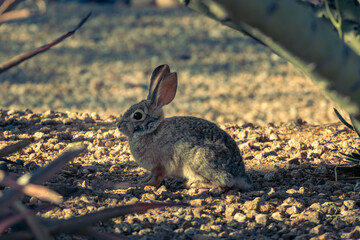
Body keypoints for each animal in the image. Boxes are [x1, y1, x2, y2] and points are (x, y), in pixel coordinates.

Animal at [116, 64, 252, 190]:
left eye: (137, 115)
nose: (119, 125)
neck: (151, 130)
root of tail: (239, 174)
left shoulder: (159, 166)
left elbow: (156, 178)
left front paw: (144, 185)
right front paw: (142, 180)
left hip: (199, 162)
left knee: (222, 184)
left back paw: (194, 184)